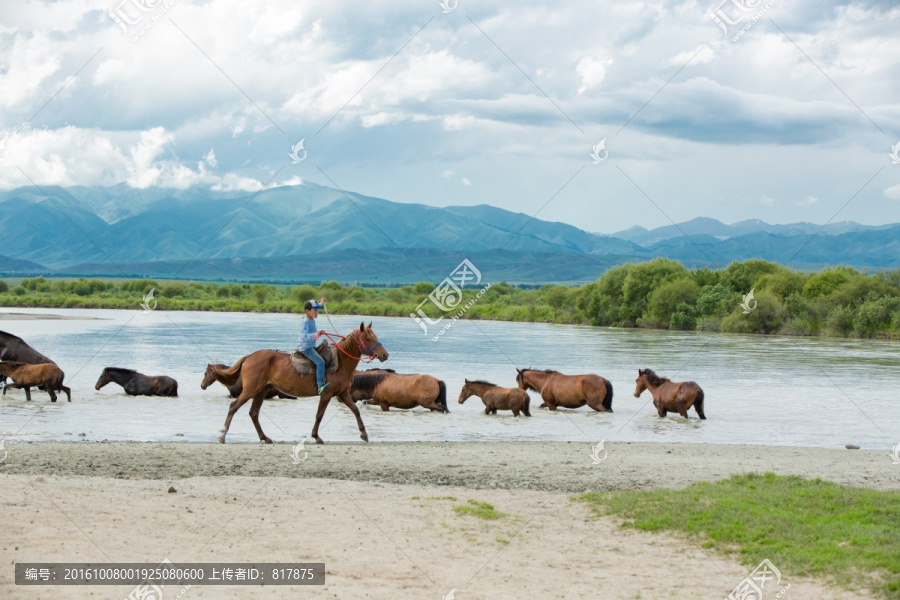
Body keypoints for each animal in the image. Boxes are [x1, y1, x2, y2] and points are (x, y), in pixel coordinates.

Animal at [218, 324, 390, 446]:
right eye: (368, 339)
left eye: (375, 336)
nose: (384, 354)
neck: (341, 361)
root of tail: (249, 357)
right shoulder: (327, 393)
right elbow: (320, 415)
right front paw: (316, 436)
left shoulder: (342, 393)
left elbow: (355, 410)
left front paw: (364, 435)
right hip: (251, 389)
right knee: (234, 406)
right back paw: (222, 434)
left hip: (261, 391)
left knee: (254, 413)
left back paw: (264, 437)